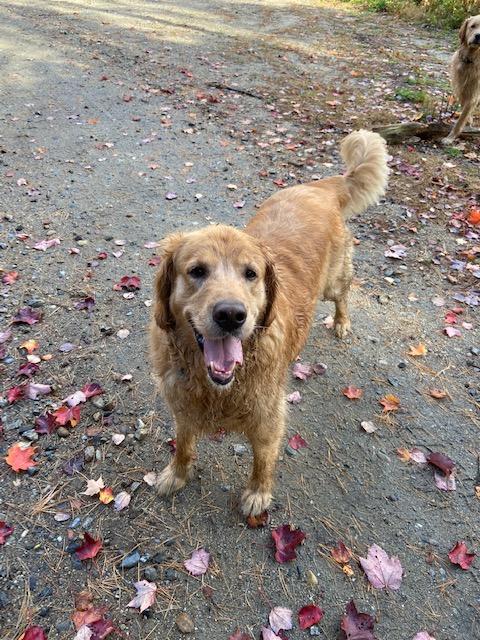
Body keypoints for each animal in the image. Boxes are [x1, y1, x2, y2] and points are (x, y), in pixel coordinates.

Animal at [150, 130, 388, 516]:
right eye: (196, 271)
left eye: (251, 274)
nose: (231, 315)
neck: (218, 385)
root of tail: (319, 187)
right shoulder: (183, 406)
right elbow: (183, 444)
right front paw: (177, 474)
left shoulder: (268, 417)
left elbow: (262, 460)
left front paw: (258, 494)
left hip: (334, 281)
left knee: (343, 295)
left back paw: (341, 322)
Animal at [443, 15, 480, 144]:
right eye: (472, 26)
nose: (478, 36)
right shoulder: (462, 88)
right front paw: (469, 121)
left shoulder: (474, 95)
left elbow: (460, 120)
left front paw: (450, 138)